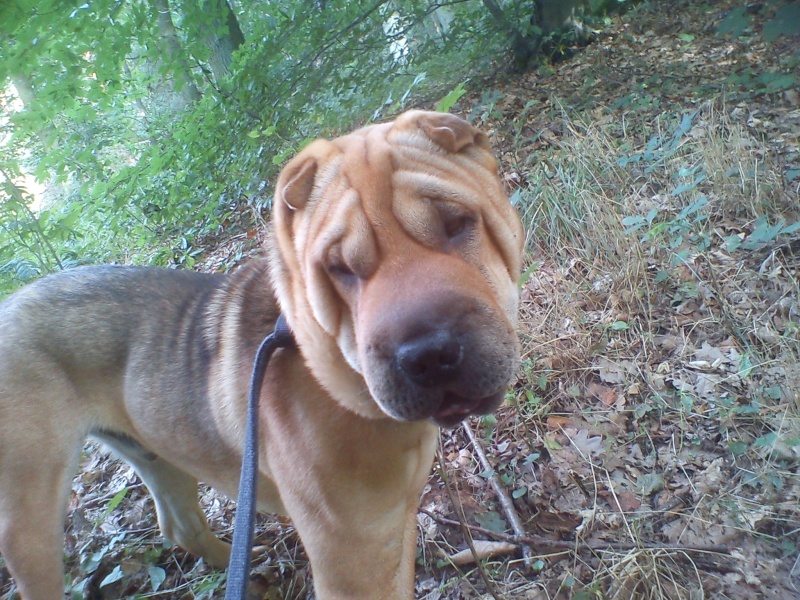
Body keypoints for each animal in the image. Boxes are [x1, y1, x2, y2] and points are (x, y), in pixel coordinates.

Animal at [0, 110, 524, 596]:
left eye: (456, 223)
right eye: (338, 268)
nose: (428, 354)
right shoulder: (353, 557)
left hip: (155, 452)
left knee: (181, 525)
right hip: (29, 514)